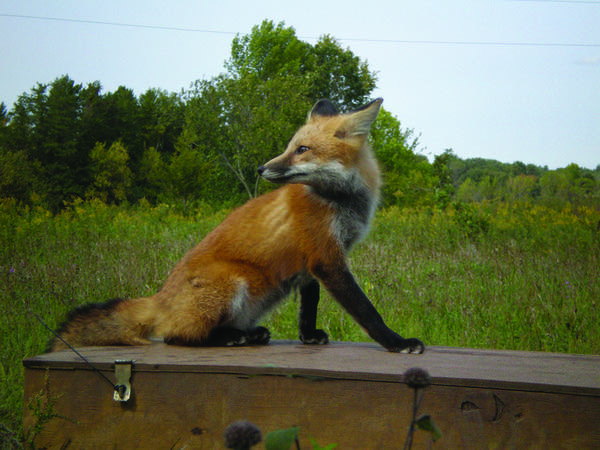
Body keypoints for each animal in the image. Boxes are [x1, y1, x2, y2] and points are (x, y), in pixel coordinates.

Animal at [50, 99, 426, 356]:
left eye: (302, 150)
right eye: (290, 147)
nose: (261, 169)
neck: (341, 201)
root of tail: (159, 300)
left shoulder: (312, 264)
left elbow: (308, 308)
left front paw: (308, 337)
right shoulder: (325, 257)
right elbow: (367, 311)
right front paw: (396, 342)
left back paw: (248, 334)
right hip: (234, 281)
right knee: (178, 337)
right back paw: (233, 337)